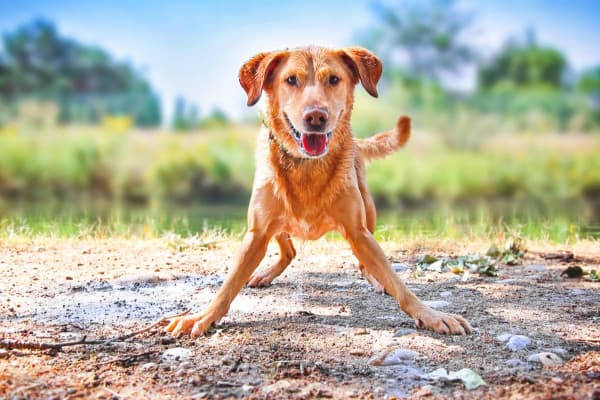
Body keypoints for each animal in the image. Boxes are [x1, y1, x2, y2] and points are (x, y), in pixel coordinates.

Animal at [166, 46, 472, 338]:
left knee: (365, 264)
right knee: (289, 251)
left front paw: (429, 314)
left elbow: (399, 284)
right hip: (277, 223)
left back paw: (374, 279)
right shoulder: (257, 232)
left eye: (333, 79)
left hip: (368, 212)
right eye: (291, 80)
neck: (307, 168)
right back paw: (265, 275)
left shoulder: (358, 231)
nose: (316, 116)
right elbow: (228, 286)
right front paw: (203, 316)